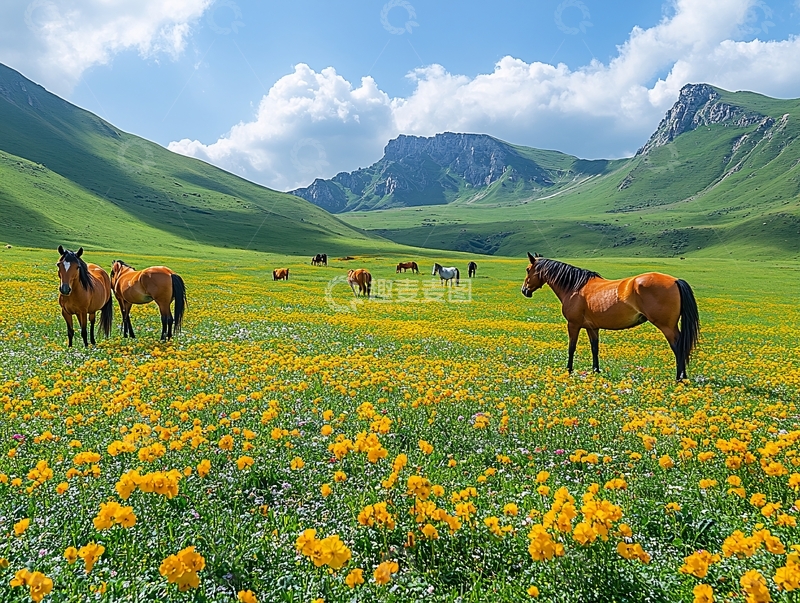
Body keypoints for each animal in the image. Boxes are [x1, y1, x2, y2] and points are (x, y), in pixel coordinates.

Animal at [521, 252, 700, 381]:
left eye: (528, 270)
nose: (524, 290)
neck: (575, 287)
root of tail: (675, 280)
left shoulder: (573, 324)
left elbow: (571, 347)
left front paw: (569, 371)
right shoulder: (592, 328)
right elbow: (595, 349)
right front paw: (596, 371)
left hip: (667, 327)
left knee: (678, 346)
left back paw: (679, 378)